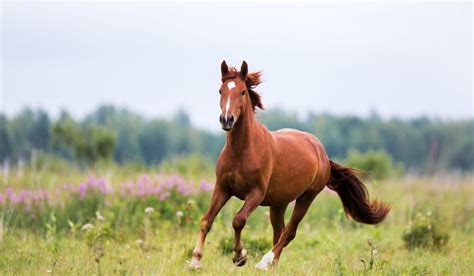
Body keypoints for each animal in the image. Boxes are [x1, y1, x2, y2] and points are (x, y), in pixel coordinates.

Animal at [189, 59, 388, 270]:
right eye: (221, 91)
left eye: (242, 92)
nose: (227, 120)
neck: (242, 152)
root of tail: (321, 152)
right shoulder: (222, 188)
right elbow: (206, 220)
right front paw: (195, 261)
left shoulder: (256, 194)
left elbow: (238, 220)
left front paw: (239, 256)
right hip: (279, 203)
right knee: (279, 232)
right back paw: (272, 267)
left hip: (307, 197)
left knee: (289, 232)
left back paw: (264, 262)